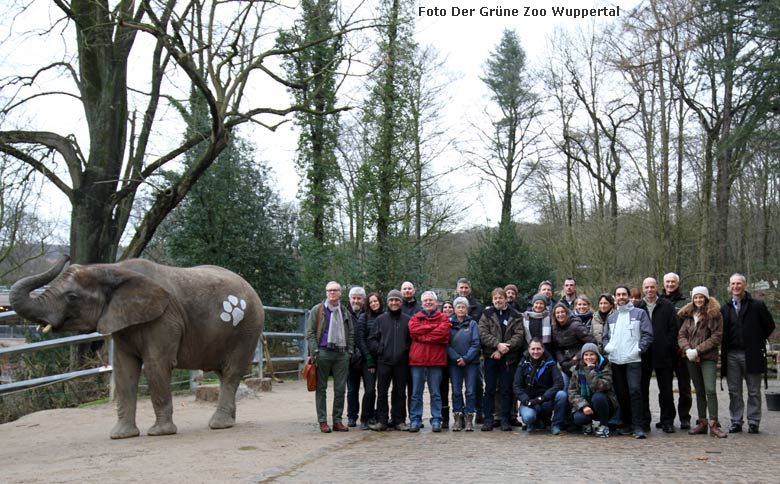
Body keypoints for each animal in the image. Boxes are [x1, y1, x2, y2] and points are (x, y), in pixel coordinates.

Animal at [9, 258, 266, 438]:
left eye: (72, 296)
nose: (66, 256)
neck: (112, 269)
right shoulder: (123, 323)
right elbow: (124, 371)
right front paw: (121, 436)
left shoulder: (164, 318)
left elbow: (156, 366)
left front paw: (159, 433)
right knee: (224, 375)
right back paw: (227, 422)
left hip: (247, 329)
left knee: (231, 372)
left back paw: (219, 425)